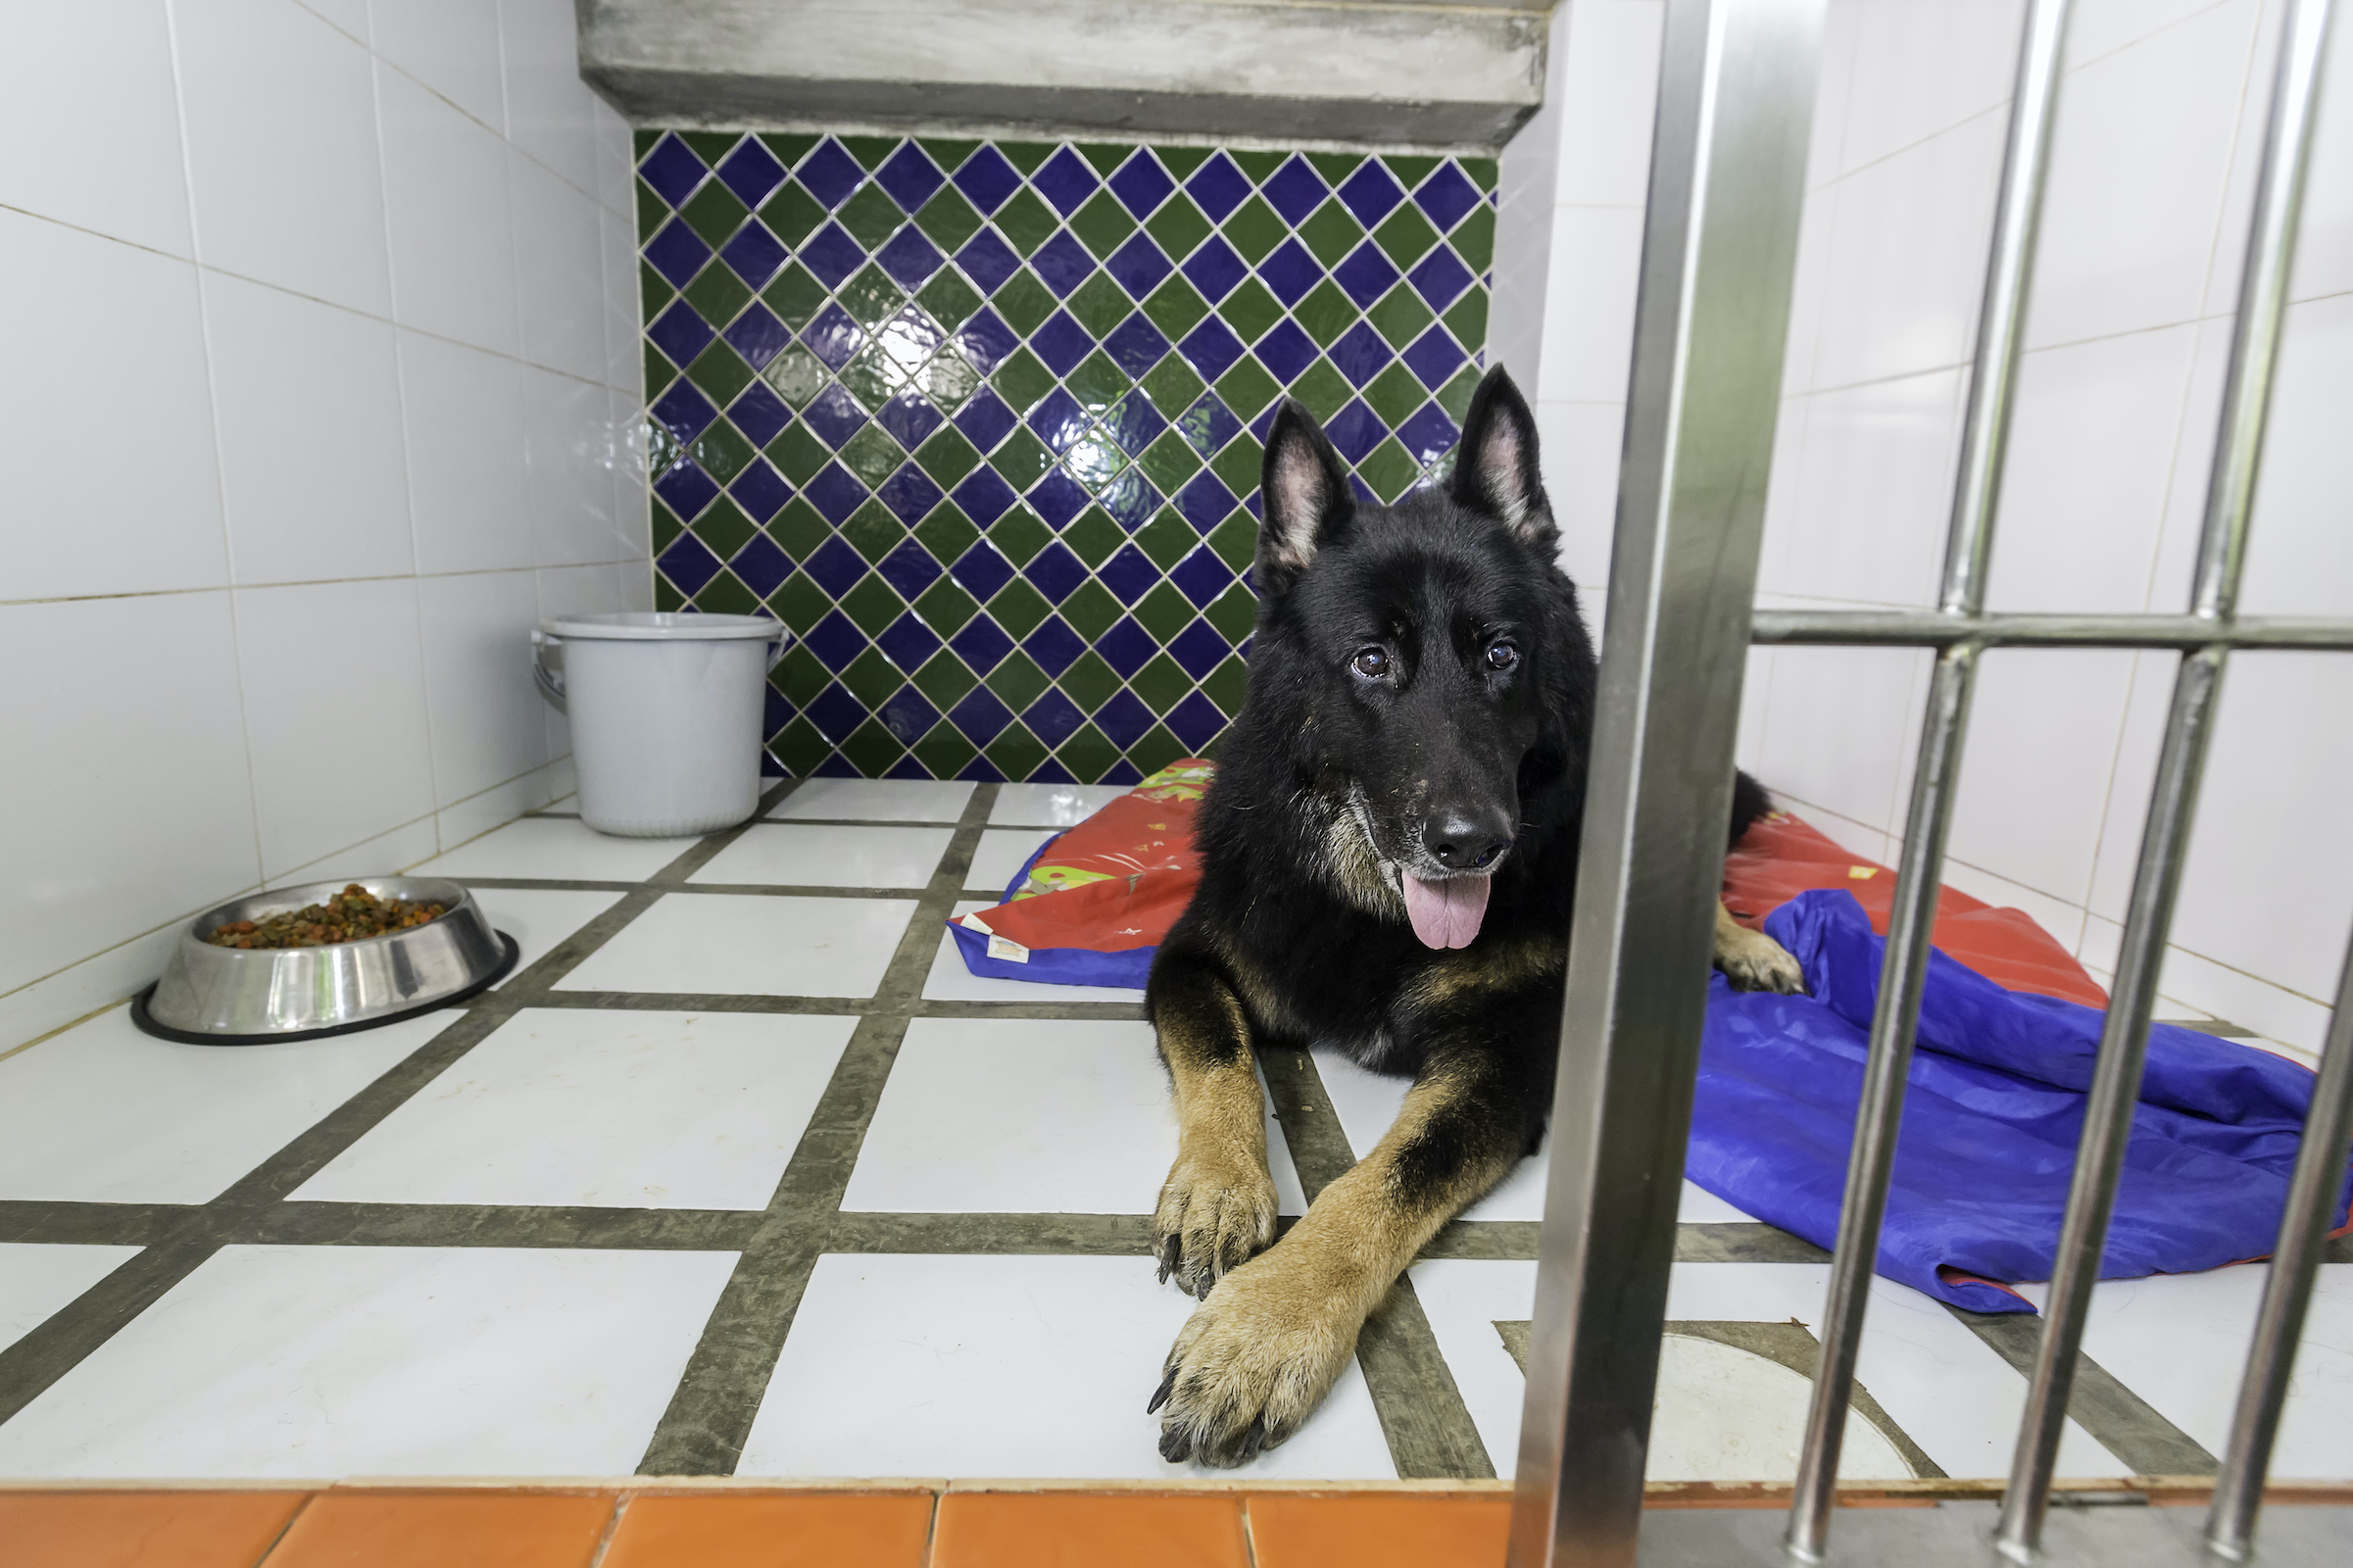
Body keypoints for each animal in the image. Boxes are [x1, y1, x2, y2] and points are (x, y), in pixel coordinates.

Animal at [1139, 360, 1797, 1459]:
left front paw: (1265, 1326)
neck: (1371, 911)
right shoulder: (1190, 960)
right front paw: (1221, 1189)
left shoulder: (1505, 1066)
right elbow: (1220, 1058)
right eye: (1371, 660)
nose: (1471, 842)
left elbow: (1381, 1180)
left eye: (1500, 655)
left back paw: (1745, 944)